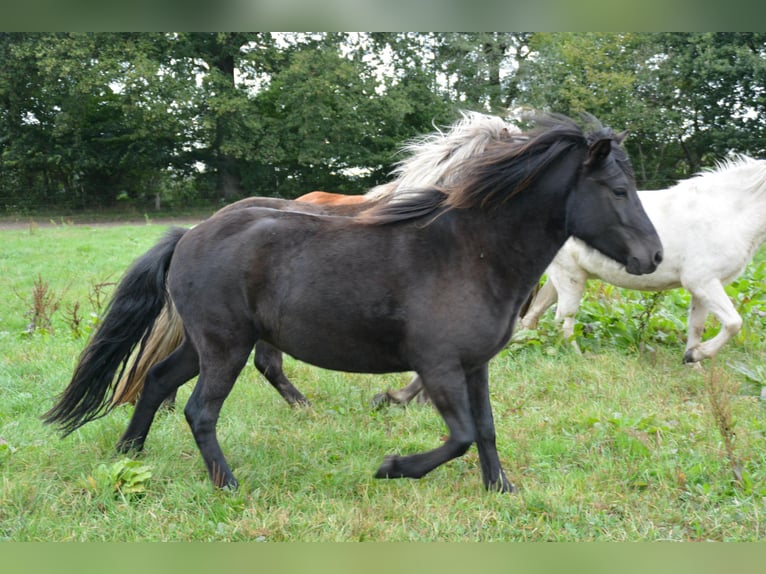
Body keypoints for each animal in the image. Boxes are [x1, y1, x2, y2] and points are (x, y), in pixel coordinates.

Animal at [520, 155, 766, 363]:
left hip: (565, 276)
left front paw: (692, 361)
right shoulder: (701, 281)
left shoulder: (703, 287)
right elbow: (734, 323)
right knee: (564, 322)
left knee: (535, 314)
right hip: (570, 277)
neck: (728, 212)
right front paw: (697, 355)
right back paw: (580, 359)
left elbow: (696, 327)